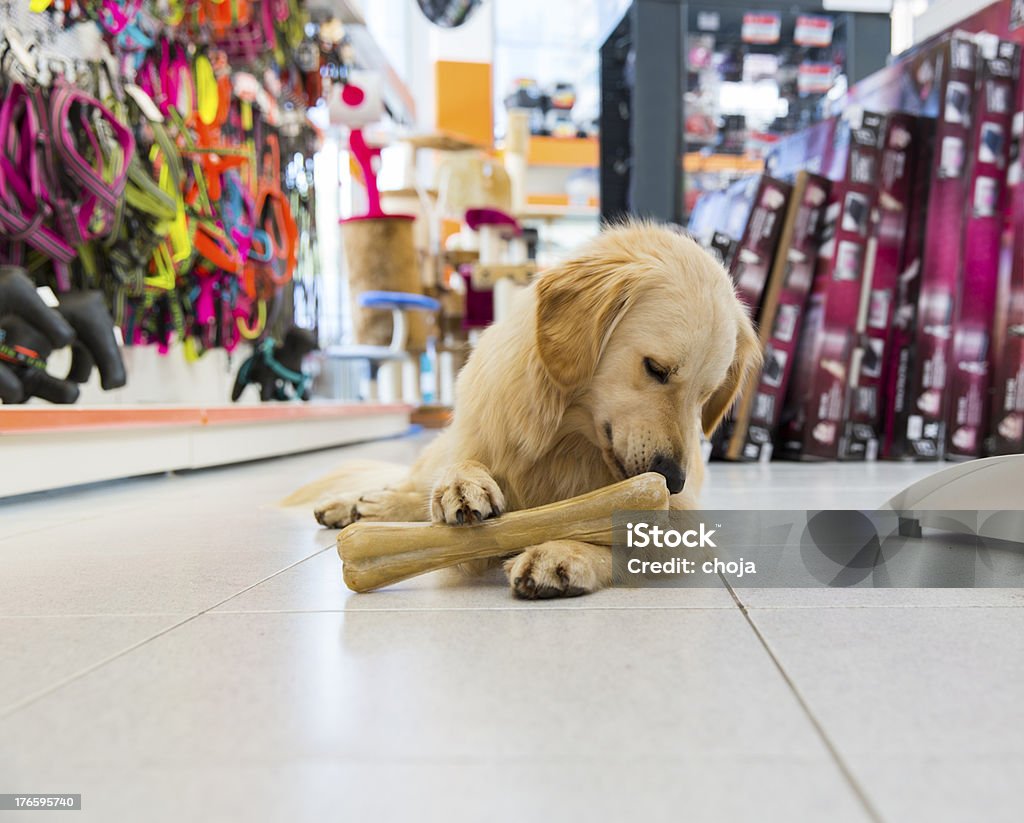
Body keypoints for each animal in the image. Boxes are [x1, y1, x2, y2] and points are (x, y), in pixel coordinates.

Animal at [313, 222, 761, 597]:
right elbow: (465, 469)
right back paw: (356, 504)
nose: (673, 480)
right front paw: (464, 483)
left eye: (704, 396)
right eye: (656, 368)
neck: (567, 441)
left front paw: (564, 551)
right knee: (411, 483)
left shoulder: (686, 523)